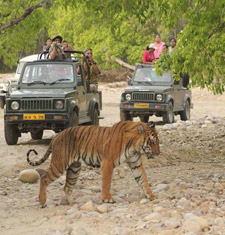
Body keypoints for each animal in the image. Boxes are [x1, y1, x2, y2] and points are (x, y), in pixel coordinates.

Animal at [26, 121, 160, 207]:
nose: (158, 153)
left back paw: (73, 203)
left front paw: (151, 195)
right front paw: (107, 199)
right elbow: (106, 182)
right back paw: (42, 202)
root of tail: (56, 136)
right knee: (44, 178)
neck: (134, 146)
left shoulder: (135, 164)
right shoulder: (107, 162)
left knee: (67, 187)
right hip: (59, 164)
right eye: (153, 142)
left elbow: (143, 179)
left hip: (74, 169)